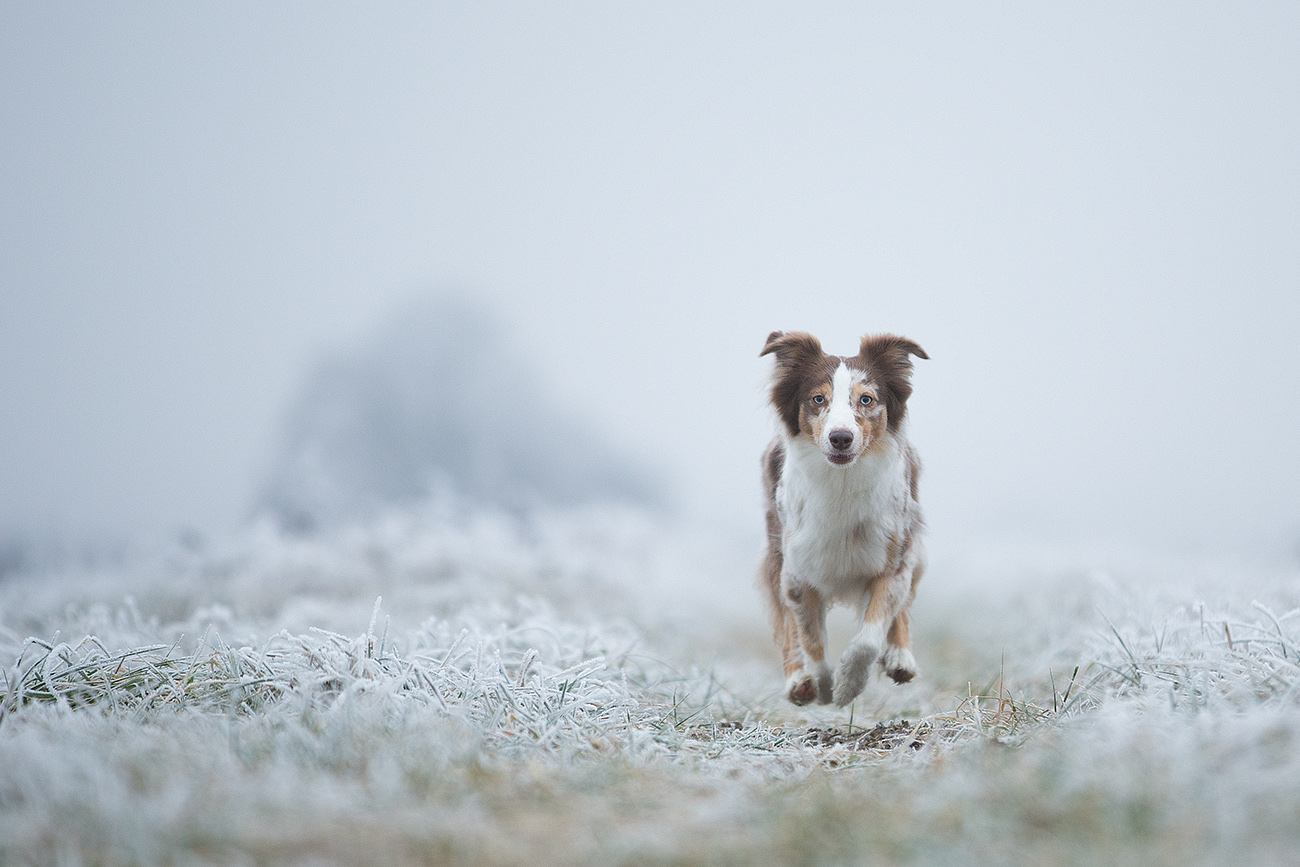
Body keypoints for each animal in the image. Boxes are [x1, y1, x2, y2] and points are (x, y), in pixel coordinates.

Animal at [759, 330, 930, 707]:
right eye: (817, 398)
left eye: (866, 399)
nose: (840, 438)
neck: (842, 481)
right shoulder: (797, 571)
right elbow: (810, 638)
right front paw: (823, 689)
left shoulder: (893, 558)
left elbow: (869, 636)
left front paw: (850, 683)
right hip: (776, 547)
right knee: (786, 621)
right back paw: (798, 681)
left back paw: (900, 658)